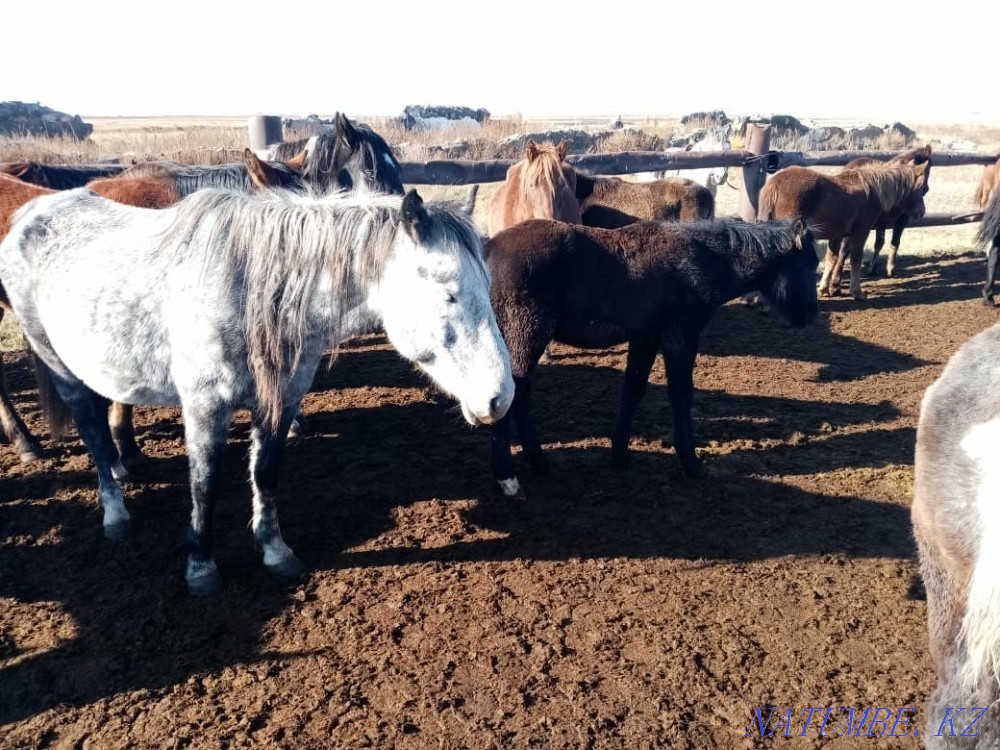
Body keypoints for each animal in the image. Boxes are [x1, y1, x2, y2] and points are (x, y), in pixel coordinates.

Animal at [0, 187, 514, 595]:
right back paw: (115, 513)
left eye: (488, 284)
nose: (500, 398)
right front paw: (200, 567)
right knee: (91, 430)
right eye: (448, 292)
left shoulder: (282, 400)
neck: (250, 291)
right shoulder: (205, 407)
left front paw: (275, 551)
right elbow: (204, 485)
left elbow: (265, 473)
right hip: (60, 366)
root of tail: (30, 214)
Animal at [485, 217, 819, 498]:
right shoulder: (681, 335)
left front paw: (619, 455)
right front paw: (691, 461)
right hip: (527, 335)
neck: (701, 260)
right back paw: (507, 476)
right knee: (512, 396)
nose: (811, 315)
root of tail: (487, 251)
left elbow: (633, 389)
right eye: (808, 264)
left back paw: (538, 462)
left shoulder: (646, 337)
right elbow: (681, 393)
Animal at [758, 160, 929, 299]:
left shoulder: (837, 235)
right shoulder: (861, 233)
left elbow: (832, 259)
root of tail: (775, 183)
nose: (922, 212)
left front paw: (824, 289)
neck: (872, 190)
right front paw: (857, 292)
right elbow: (855, 260)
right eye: (921, 188)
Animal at [843, 144, 933, 277]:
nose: (926, 189)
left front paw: (882, 268)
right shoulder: (891, 219)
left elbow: (887, 242)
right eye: (928, 167)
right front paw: (881, 269)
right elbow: (887, 242)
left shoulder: (892, 220)